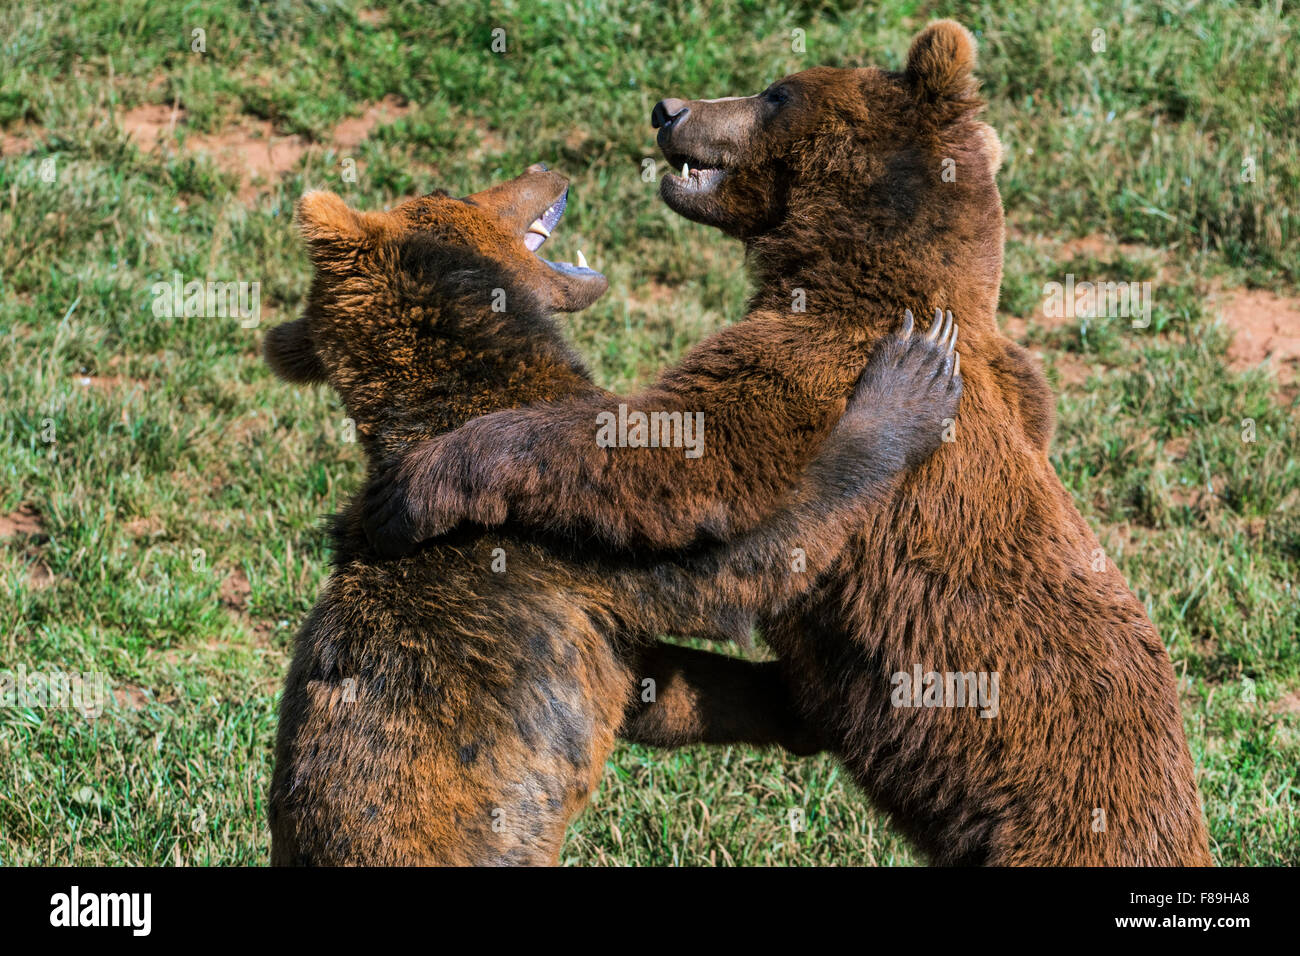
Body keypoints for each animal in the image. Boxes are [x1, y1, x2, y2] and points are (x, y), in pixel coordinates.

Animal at [261, 166, 967, 868]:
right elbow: (741, 560)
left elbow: (660, 690)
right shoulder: (565, 537)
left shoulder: (592, 618)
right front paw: (909, 382)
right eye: (458, 193)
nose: (542, 168)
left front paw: (798, 706)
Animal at [364, 20, 1206, 868]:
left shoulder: (817, 359)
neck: (855, 264)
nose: (669, 107)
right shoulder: (1016, 377)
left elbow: (681, 453)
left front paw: (428, 477)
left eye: (776, 92)